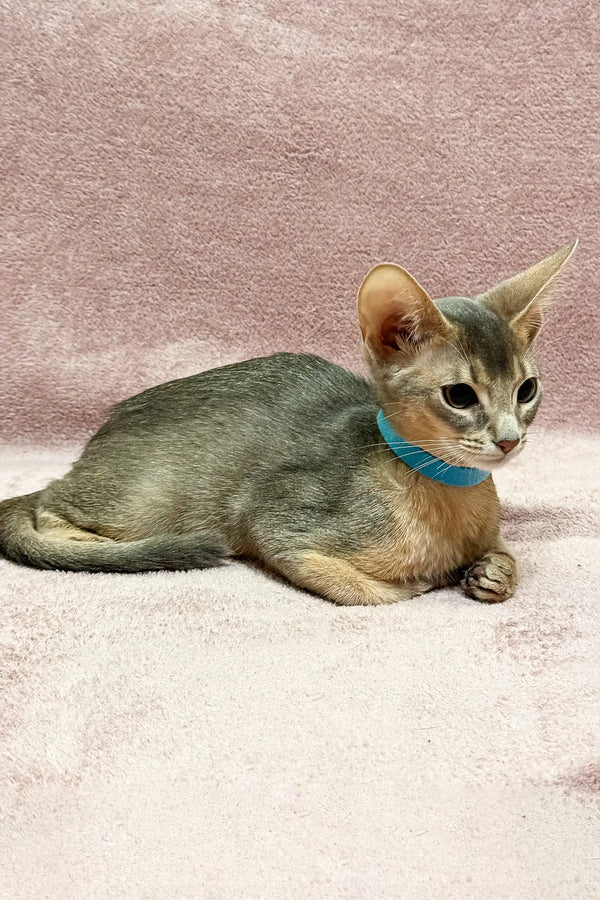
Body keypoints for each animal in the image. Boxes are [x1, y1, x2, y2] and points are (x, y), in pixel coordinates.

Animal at [0, 241, 576, 604]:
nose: (509, 440)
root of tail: (97, 441)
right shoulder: (274, 518)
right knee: (49, 507)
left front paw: (493, 572)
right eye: (459, 395)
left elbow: (505, 555)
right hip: (145, 498)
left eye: (526, 390)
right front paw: (421, 582)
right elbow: (366, 593)